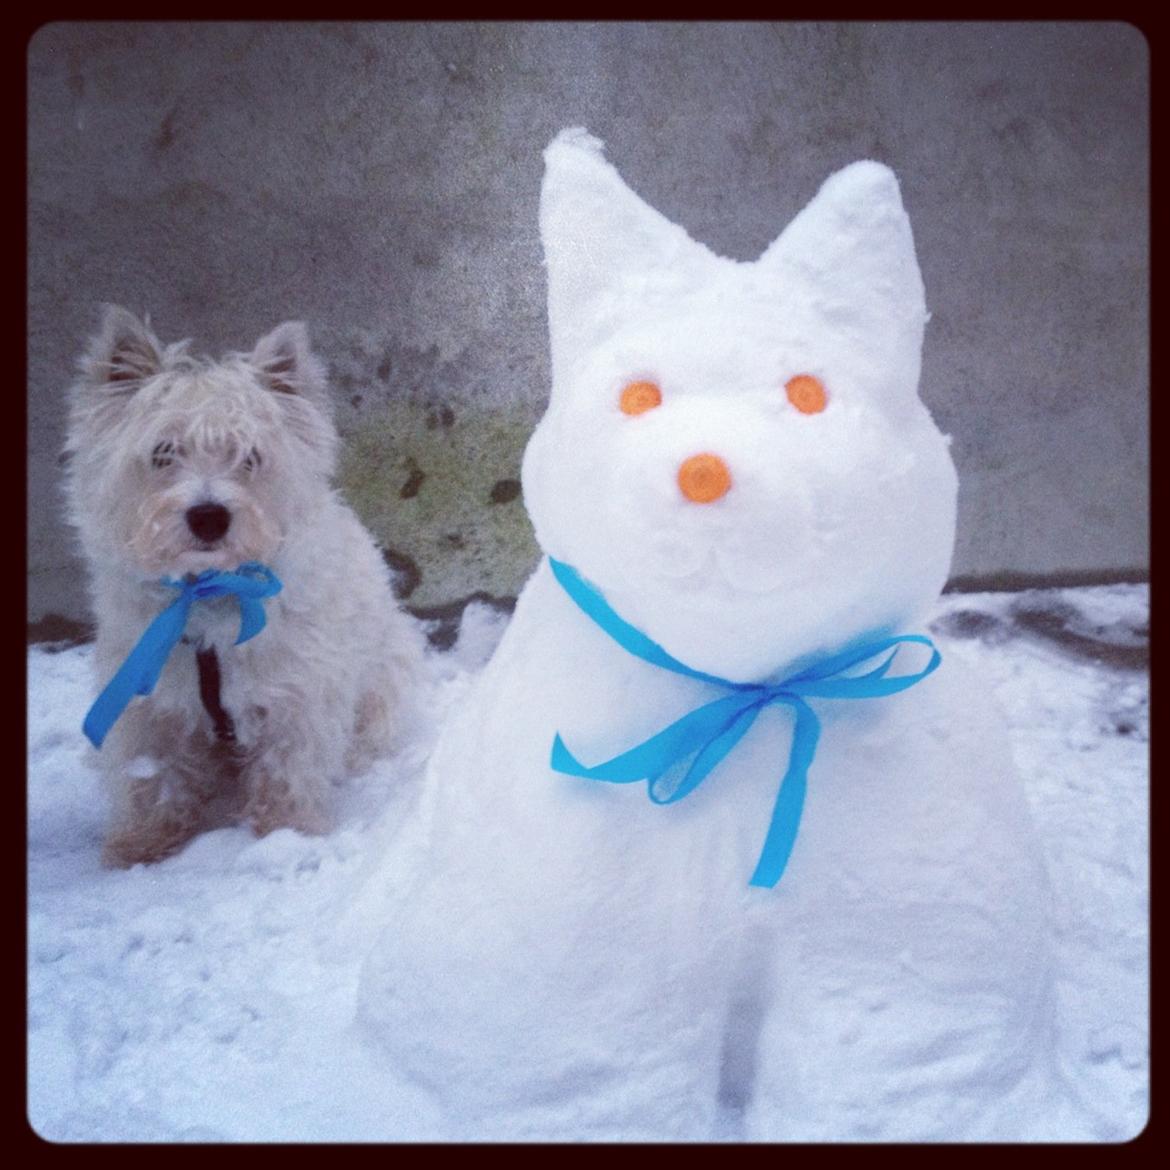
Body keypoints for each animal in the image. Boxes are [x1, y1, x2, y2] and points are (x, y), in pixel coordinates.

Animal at [65, 306, 430, 865]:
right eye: (162, 452)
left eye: (250, 457)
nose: (209, 516)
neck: (208, 593)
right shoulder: (148, 702)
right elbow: (154, 779)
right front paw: (142, 848)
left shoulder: (295, 694)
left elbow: (286, 770)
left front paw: (287, 834)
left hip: (384, 674)